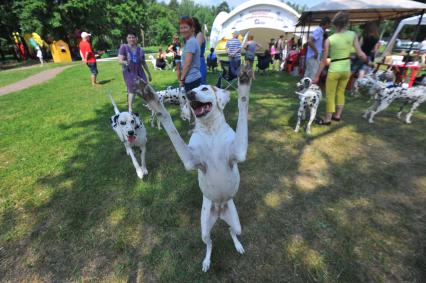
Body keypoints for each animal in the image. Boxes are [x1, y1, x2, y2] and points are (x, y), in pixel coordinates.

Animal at [135, 64, 251, 272]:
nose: (189, 94)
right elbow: (168, 122)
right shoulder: (190, 160)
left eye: (204, 88)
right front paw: (151, 98)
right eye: (192, 90)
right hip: (203, 229)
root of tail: (220, 209)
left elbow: (243, 106)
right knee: (210, 243)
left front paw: (244, 84)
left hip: (237, 223)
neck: (211, 131)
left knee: (232, 231)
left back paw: (237, 245)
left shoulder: (238, 152)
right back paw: (206, 261)